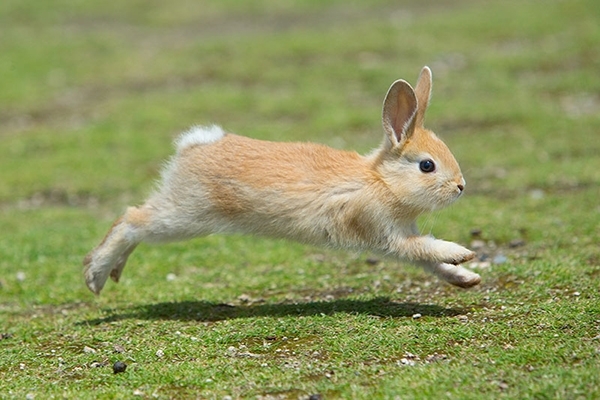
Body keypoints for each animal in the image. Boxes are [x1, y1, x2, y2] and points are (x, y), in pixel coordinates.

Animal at [83, 66, 482, 294]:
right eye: (427, 166)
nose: (461, 187)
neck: (381, 180)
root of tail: (194, 146)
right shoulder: (382, 229)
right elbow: (425, 249)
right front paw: (463, 253)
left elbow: (428, 261)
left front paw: (465, 279)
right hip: (186, 216)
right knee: (132, 219)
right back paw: (96, 275)